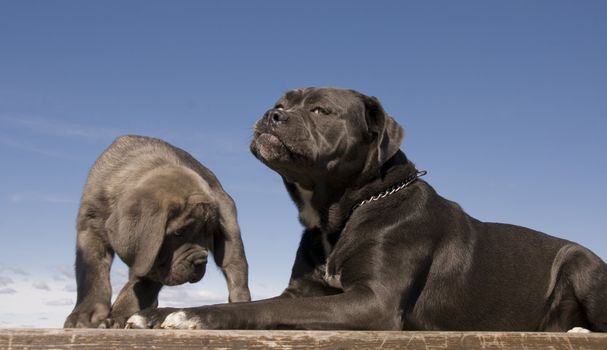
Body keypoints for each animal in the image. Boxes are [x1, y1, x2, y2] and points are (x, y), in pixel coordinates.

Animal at [63, 135, 251, 328]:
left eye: (209, 234)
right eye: (178, 233)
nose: (200, 262)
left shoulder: (152, 258)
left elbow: (141, 287)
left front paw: (118, 315)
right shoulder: (90, 227)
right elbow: (92, 274)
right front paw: (86, 314)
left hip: (231, 241)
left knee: (236, 274)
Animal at [126, 87, 604, 330]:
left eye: (320, 110)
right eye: (282, 101)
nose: (272, 113)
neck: (343, 213)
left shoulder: (372, 301)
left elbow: (261, 309)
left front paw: (192, 314)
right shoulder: (303, 292)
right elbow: (265, 302)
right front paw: (154, 313)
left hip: (580, 262)